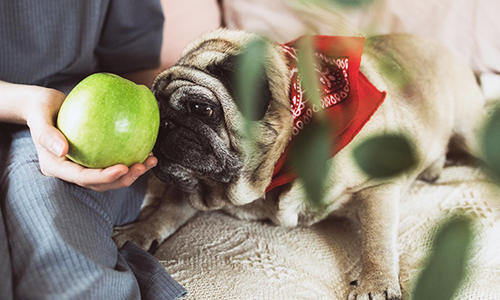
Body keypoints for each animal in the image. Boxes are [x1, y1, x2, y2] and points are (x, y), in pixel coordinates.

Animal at [113, 28, 484, 300]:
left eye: (202, 109)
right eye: (155, 111)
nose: (164, 125)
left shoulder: (377, 187)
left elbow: (377, 240)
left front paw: (376, 284)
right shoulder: (195, 182)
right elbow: (167, 208)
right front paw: (140, 229)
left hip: (470, 131)